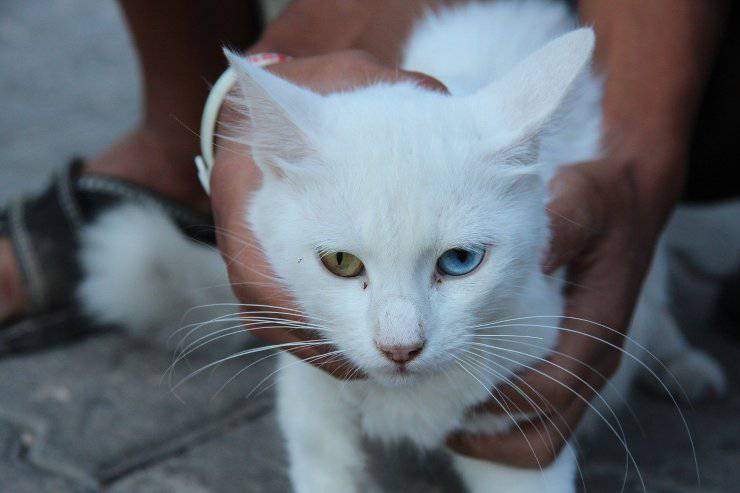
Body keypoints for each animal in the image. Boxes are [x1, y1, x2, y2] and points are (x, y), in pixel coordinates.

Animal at [78, 0, 724, 492]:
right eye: (341, 262)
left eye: (460, 262)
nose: (400, 347)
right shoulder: (311, 396)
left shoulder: (523, 421)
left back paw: (680, 364)